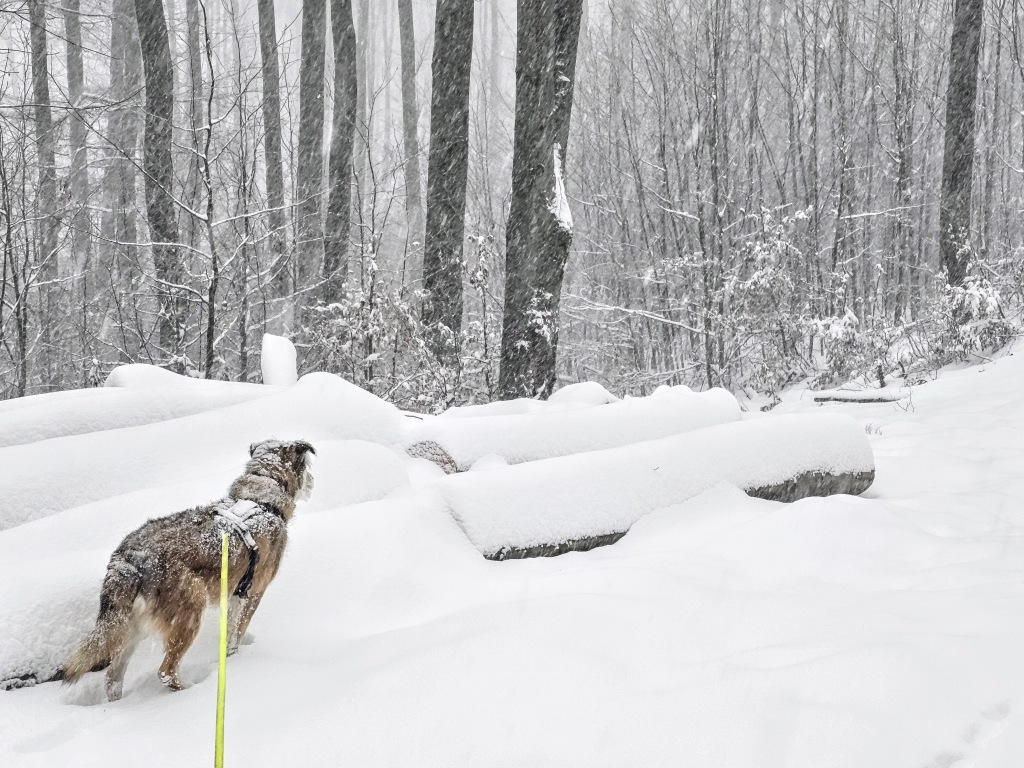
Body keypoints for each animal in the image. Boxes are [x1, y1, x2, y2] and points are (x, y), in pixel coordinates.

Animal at [61, 438, 313, 704]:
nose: (312, 484)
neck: (259, 501)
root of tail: (129, 559)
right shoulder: (253, 593)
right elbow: (236, 634)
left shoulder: (235, 595)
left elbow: (230, 632)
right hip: (190, 613)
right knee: (165, 671)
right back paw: (189, 690)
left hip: (131, 628)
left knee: (113, 676)